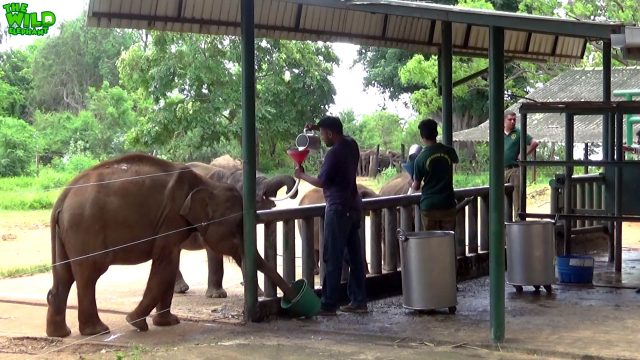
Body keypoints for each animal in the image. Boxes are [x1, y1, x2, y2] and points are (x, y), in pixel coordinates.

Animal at [172, 161, 298, 298]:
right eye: (246, 188)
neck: (227, 174)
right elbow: (214, 251)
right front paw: (217, 295)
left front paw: (259, 294)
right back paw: (181, 289)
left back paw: (181, 288)